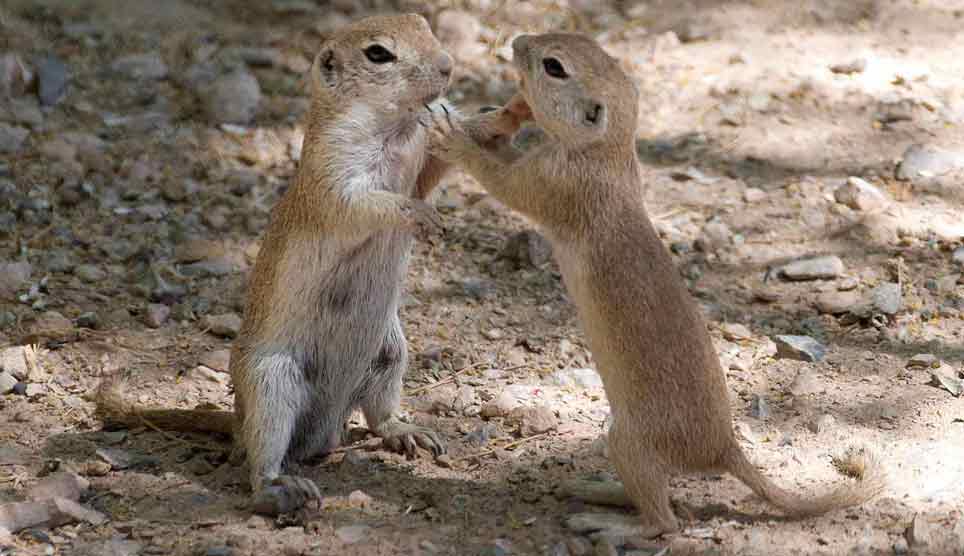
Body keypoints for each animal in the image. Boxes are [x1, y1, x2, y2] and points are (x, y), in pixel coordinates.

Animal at [96, 14, 528, 516]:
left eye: (423, 23)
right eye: (378, 54)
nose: (447, 65)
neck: (396, 125)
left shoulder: (422, 158)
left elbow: (439, 165)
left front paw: (507, 113)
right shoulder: (333, 171)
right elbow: (365, 203)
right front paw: (422, 215)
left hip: (390, 351)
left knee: (378, 414)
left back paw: (407, 432)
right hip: (271, 383)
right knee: (263, 453)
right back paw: (279, 488)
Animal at [426, 32, 884, 536]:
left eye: (553, 66)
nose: (517, 41)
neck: (607, 151)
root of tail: (724, 449)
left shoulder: (554, 183)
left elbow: (502, 181)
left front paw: (454, 137)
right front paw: (501, 118)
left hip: (627, 443)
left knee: (665, 522)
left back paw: (604, 521)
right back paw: (594, 489)